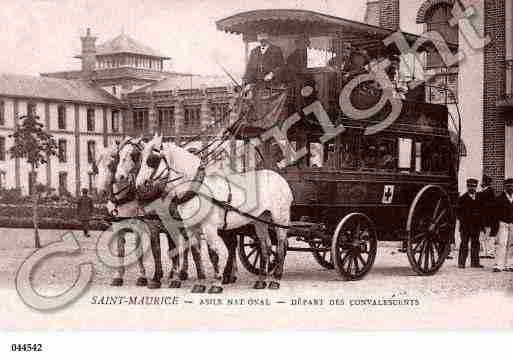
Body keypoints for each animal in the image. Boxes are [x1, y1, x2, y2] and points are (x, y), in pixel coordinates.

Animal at [136, 135, 292, 292]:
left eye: (152, 159)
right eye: (140, 158)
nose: (139, 185)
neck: (198, 188)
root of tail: (279, 178)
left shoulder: (209, 226)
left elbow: (213, 254)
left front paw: (216, 283)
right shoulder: (191, 227)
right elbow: (196, 254)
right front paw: (200, 283)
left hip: (280, 219)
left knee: (281, 245)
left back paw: (275, 280)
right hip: (260, 220)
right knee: (265, 247)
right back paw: (261, 281)